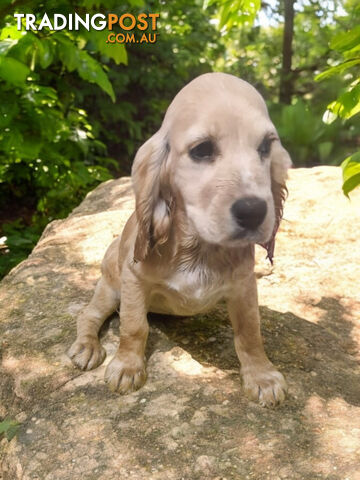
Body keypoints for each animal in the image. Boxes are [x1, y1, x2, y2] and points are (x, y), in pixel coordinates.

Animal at [68, 73, 292, 406]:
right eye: (202, 149)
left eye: (265, 147)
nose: (254, 212)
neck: (199, 247)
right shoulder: (133, 280)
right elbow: (134, 326)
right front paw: (127, 366)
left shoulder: (243, 286)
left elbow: (250, 332)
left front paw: (261, 375)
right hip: (109, 287)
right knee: (89, 314)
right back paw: (87, 346)